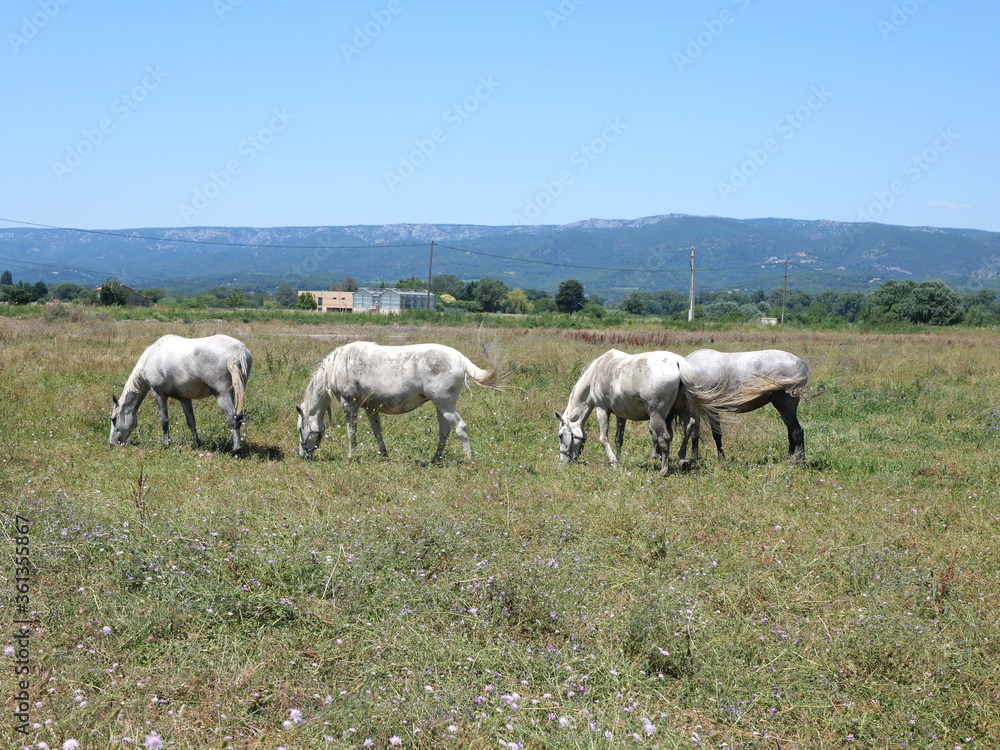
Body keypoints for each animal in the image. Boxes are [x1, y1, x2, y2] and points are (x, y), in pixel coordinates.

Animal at [109, 336, 254, 452]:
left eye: (113, 419)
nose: (112, 444)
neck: (151, 356)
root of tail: (238, 349)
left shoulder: (158, 394)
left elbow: (164, 420)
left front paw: (166, 443)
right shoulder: (185, 398)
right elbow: (191, 421)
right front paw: (197, 443)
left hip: (222, 395)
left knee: (233, 418)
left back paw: (236, 450)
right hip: (236, 393)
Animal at [294, 342, 500, 462]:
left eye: (299, 428)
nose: (303, 455)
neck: (340, 364)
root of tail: (460, 358)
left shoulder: (349, 405)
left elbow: (352, 433)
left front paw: (352, 457)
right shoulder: (371, 408)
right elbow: (377, 431)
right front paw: (383, 455)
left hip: (445, 405)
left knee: (461, 428)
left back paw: (467, 460)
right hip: (441, 407)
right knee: (444, 431)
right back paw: (435, 459)